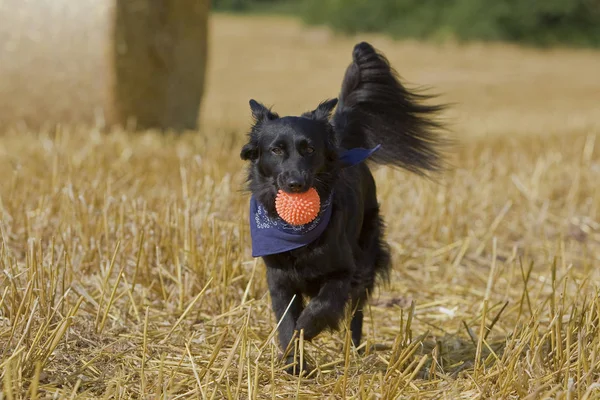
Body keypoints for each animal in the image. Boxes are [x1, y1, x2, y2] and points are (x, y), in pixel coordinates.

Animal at [241, 41, 448, 376]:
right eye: (276, 150)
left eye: (310, 149)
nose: (296, 183)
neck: (297, 231)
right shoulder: (278, 278)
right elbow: (286, 321)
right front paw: (293, 361)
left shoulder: (343, 272)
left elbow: (319, 309)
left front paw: (307, 331)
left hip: (367, 257)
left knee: (356, 312)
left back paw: (356, 349)